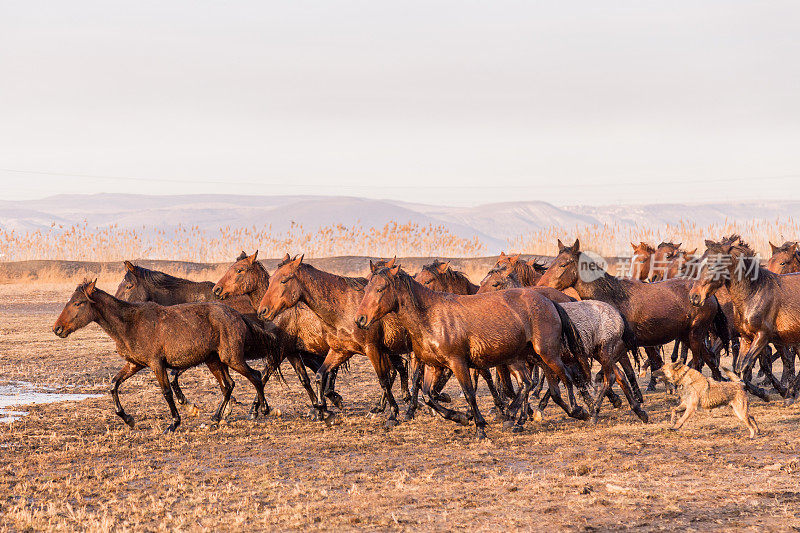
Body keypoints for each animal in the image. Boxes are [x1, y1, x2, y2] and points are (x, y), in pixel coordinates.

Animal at [54, 280, 272, 430]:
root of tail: (237, 315)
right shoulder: (134, 364)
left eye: (78, 303)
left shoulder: (156, 364)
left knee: (255, 376)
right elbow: (114, 384)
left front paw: (174, 423)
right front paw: (128, 419)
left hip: (231, 359)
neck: (130, 324)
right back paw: (215, 419)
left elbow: (166, 392)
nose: (57, 329)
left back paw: (262, 410)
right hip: (214, 361)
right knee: (228, 386)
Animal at [258, 256, 410, 426]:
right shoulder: (340, 351)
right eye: (270, 280)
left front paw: (393, 413)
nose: (263, 311)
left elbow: (383, 380)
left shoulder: (372, 349)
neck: (345, 309)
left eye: (284, 280)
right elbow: (319, 376)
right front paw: (323, 410)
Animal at [354, 264, 592, 438]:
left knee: (567, 376)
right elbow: (428, 394)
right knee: (531, 384)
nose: (360, 319)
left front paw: (479, 426)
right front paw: (459, 417)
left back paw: (578, 411)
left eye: (380, 288)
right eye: (366, 288)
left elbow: (469, 392)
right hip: (521, 357)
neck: (430, 316)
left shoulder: (458, 363)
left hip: (547, 353)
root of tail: (550, 301)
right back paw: (518, 420)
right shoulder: (434, 366)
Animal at [536, 237, 732, 390]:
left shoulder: (619, 346)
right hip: (686, 335)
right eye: (553, 262)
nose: (539, 286)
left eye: (563, 264)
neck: (612, 298)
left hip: (695, 334)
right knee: (710, 359)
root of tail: (708, 296)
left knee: (699, 362)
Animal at [688, 234, 800, 400]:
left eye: (714, 265)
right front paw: (763, 391)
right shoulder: (746, 338)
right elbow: (739, 368)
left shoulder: (762, 336)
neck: (754, 293)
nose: (694, 297)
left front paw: (765, 392)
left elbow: (745, 366)